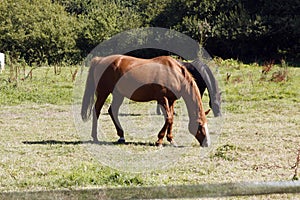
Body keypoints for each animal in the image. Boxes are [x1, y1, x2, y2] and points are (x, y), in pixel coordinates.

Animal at [81, 54, 210, 147]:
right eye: (200, 125)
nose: (207, 143)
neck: (174, 74)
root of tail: (100, 60)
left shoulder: (171, 100)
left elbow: (171, 119)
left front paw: (171, 139)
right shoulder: (162, 99)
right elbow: (168, 118)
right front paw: (159, 140)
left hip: (118, 95)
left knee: (112, 111)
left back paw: (121, 136)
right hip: (103, 93)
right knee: (96, 111)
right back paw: (95, 137)